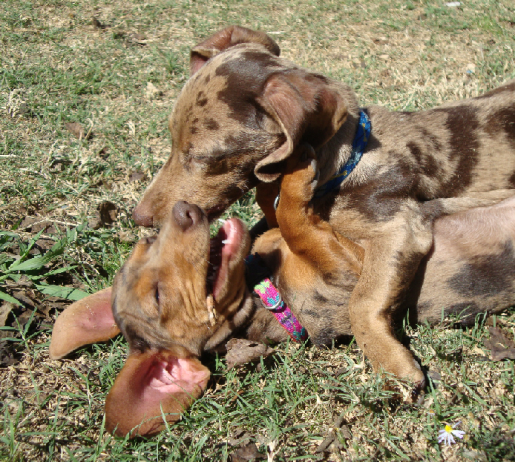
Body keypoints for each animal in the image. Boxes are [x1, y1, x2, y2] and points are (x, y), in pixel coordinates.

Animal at [49, 148, 515, 436]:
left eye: (146, 244)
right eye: (160, 298)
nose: (184, 211)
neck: (265, 287)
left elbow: (281, 212)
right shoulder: (347, 264)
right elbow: (295, 218)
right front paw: (298, 169)